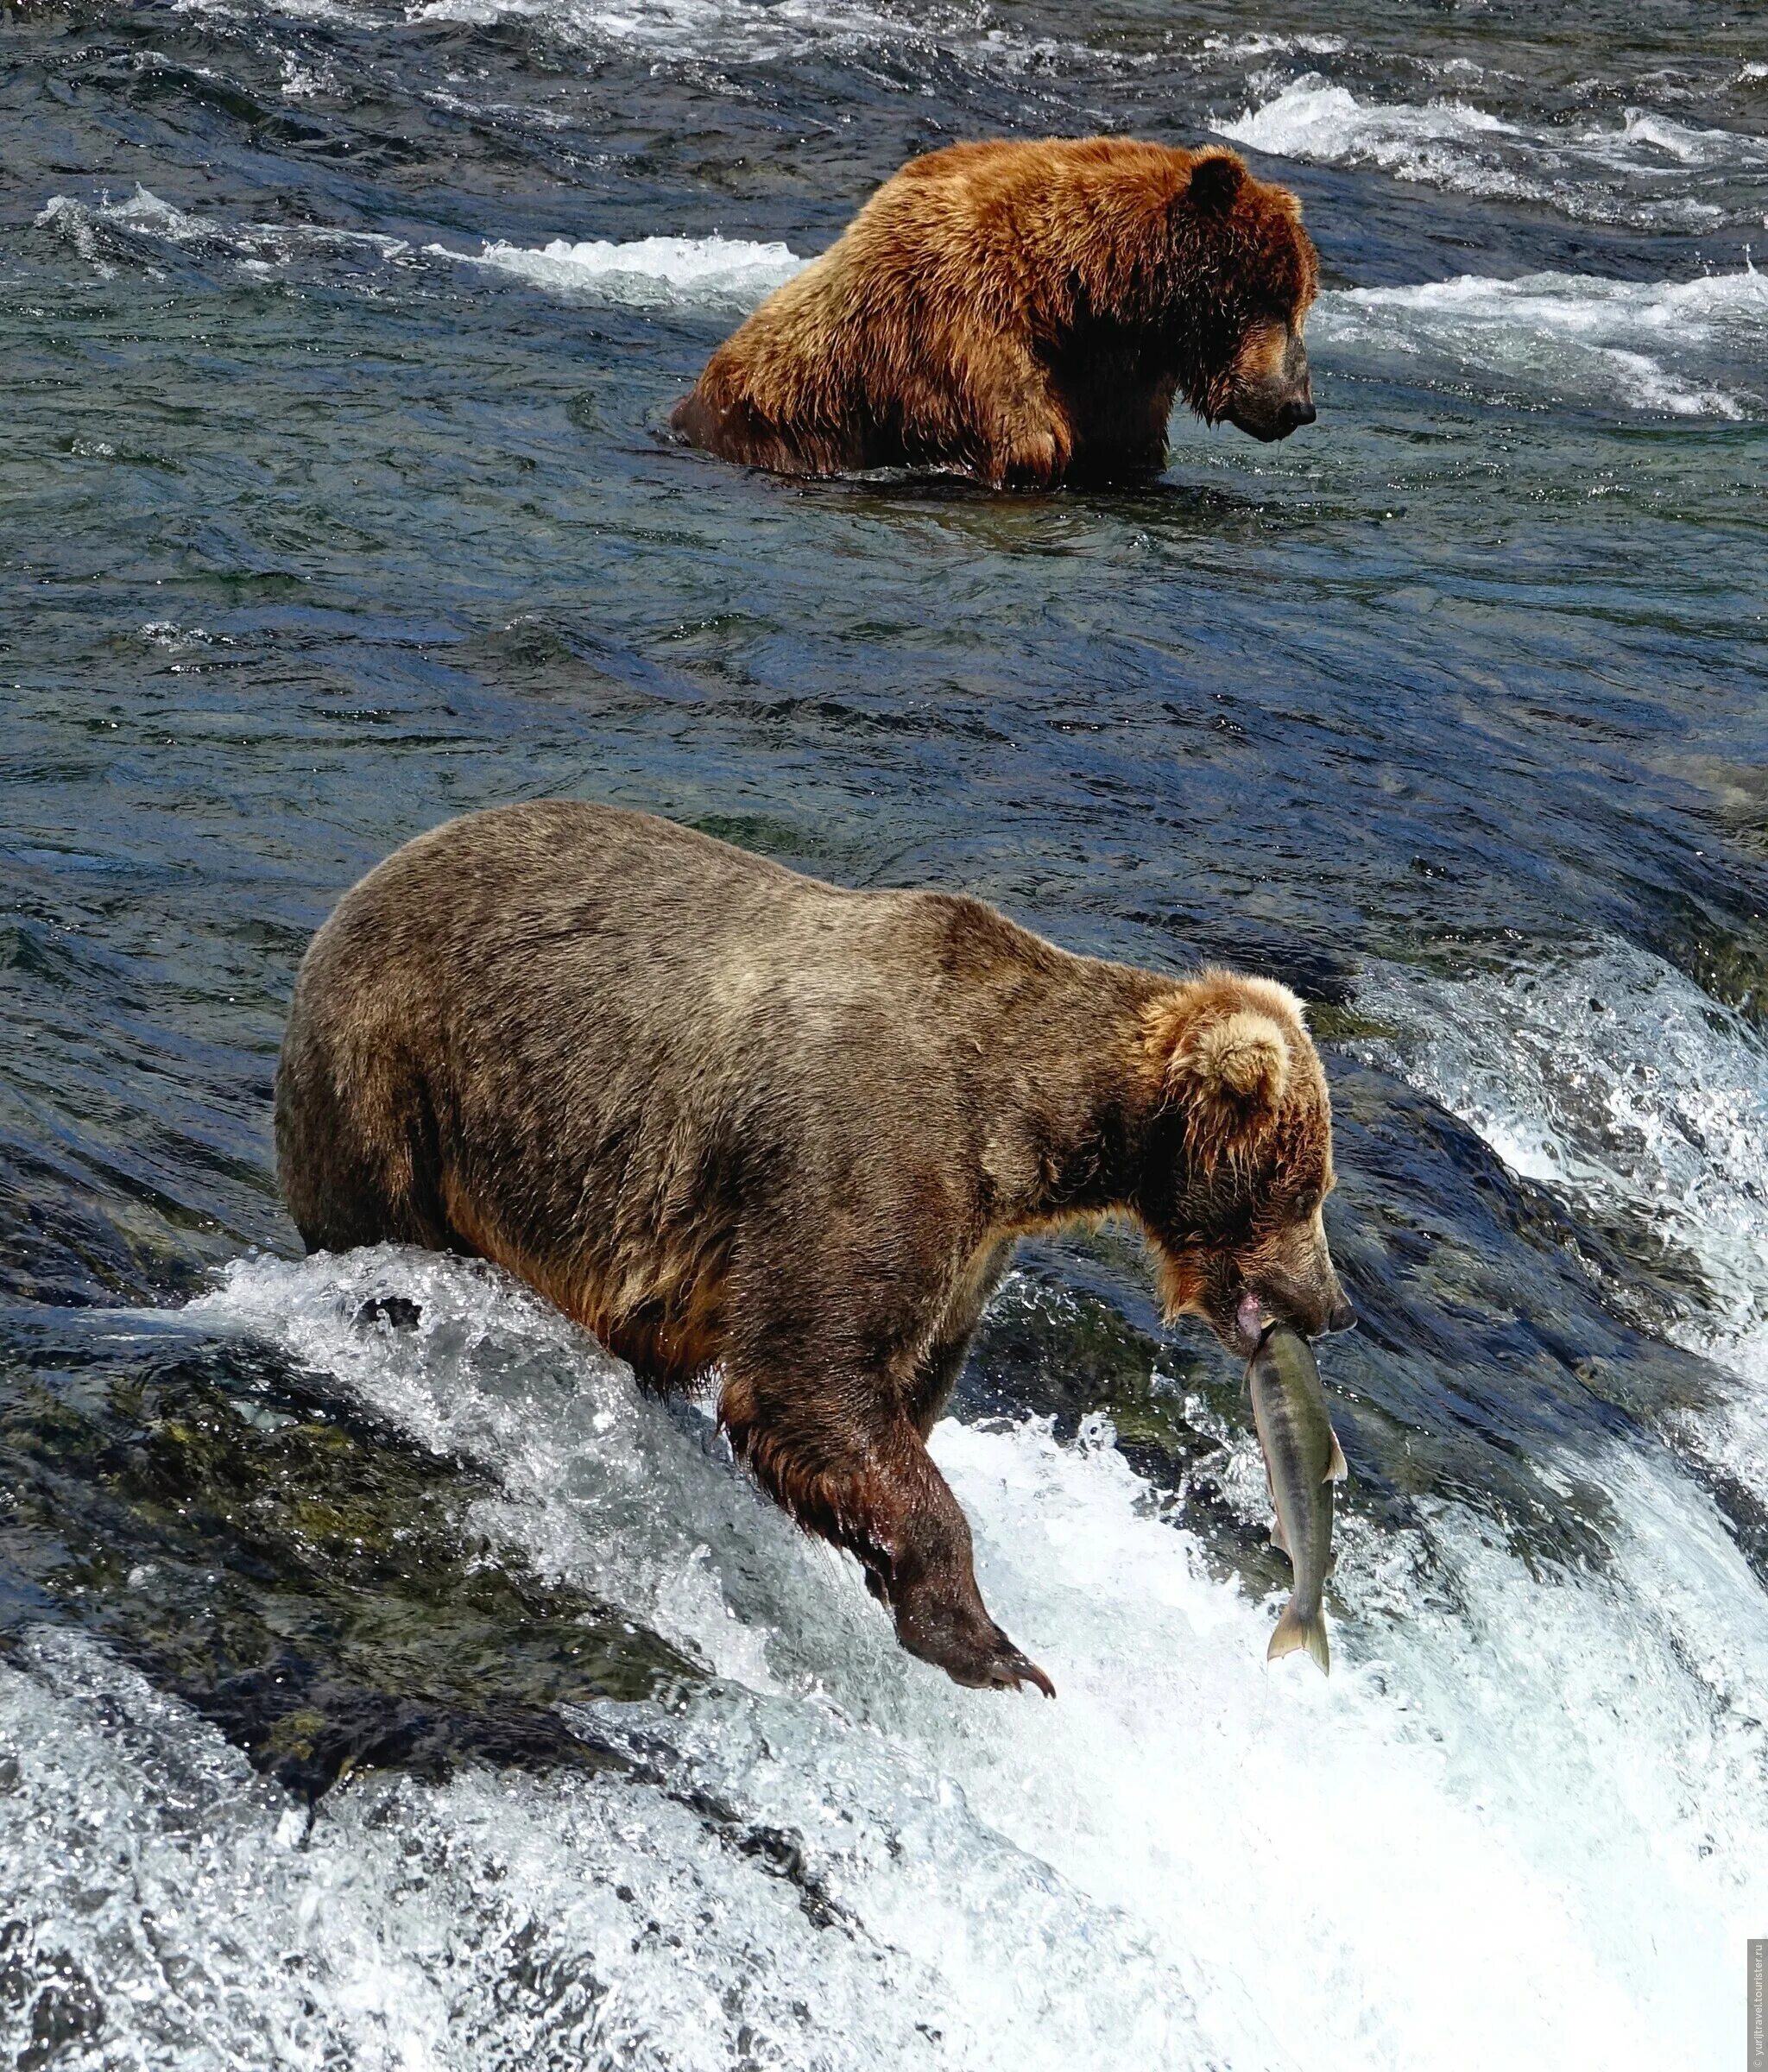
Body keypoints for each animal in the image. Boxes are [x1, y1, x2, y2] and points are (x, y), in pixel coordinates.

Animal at [275, 799, 1351, 1690]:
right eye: (1304, 1185)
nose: (1330, 1307)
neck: (1027, 1125)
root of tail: (359, 891)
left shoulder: (974, 1242)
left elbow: (900, 1382)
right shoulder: (871, 1146)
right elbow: (809, 1374)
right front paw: (992, 1647)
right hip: (404, 1078)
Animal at [667, 138, 1317, 493]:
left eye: (1304, 300)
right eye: (1269, 299)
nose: (1299, 405)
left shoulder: (1117, 378)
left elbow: (1127, 453)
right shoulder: (960, 322)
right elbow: (1027, 443)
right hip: (775, 427)